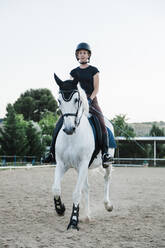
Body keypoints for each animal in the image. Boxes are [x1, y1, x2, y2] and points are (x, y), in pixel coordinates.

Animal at [52, 74, 114, 231]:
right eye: (59, 100)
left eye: (76, 99)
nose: (69, 129)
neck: (72, 137)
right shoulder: (62, 164)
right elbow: (56, 189)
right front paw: (60, 209)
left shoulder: (83, 164)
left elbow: (76, 193)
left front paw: (73, 221)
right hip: (82, 168)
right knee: (86, 188)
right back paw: (87, 216)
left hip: (106, 163)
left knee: (106, 178)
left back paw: (108, 205)